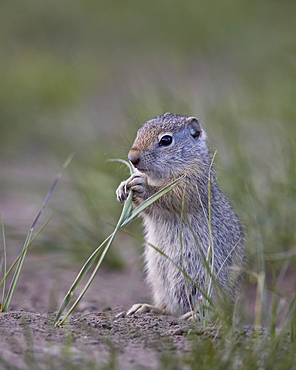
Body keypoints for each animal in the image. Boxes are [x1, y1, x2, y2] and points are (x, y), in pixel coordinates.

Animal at [117, 113, 244, 318]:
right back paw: (146, 307)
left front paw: (143, 186)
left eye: (166, 140)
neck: (159, 176)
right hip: (159, 281)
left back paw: (194, 315)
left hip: (205, 281)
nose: (132, 158)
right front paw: (123, 187)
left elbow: (172, 197)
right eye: (138, 132)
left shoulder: (191, 184)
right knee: (169, 308)